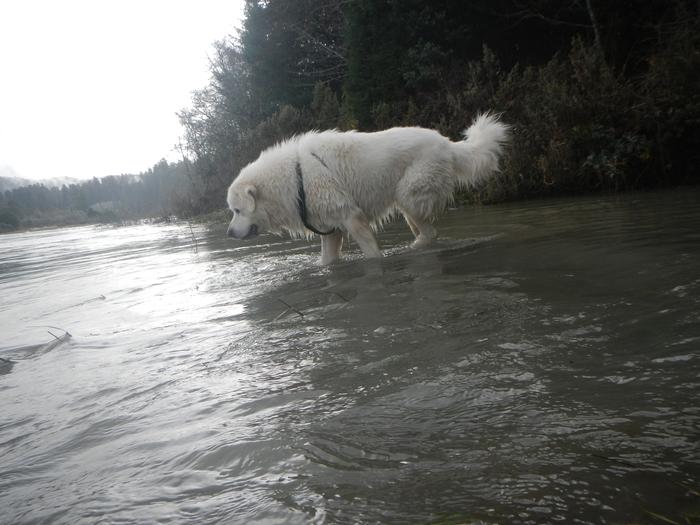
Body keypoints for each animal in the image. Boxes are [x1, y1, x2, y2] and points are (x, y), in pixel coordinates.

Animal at [230, 113, 508, 264]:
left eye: (237, 210)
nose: (229, 233)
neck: (296, 176)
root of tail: (447, 143)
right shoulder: (330, 228)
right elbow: (327, 261)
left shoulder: (351, 217)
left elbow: (371, 253)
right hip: (409, 203)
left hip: (409, 194)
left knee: (430, 233)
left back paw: (413, 249)